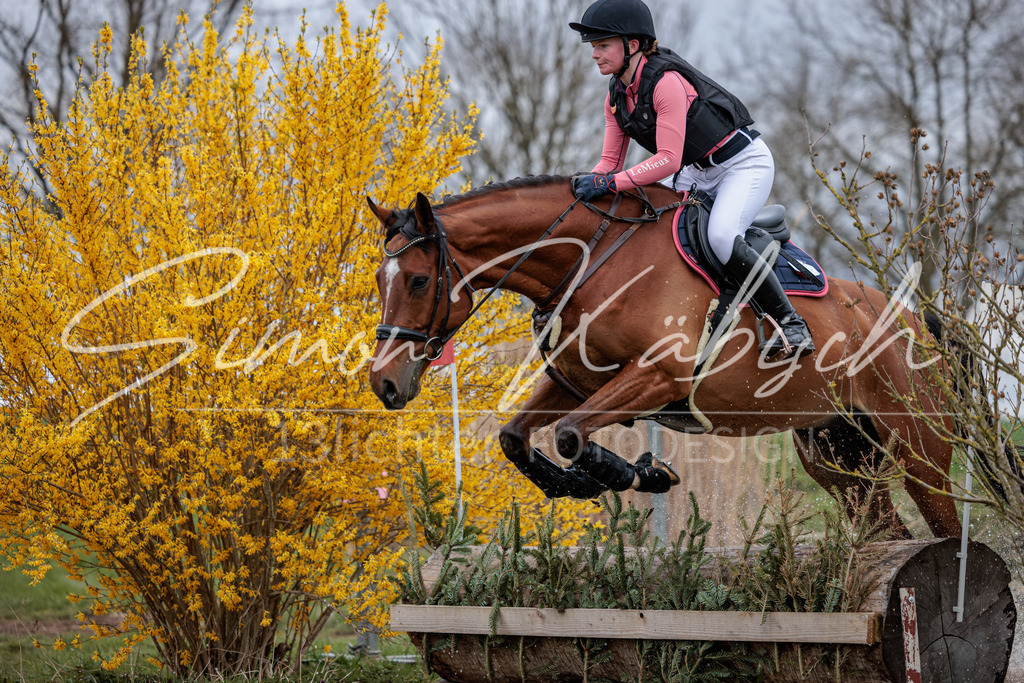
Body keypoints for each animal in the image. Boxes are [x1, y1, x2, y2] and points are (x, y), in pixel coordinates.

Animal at [366, 175, 962, 539]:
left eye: (418, 280)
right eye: (379, 278)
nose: (384, 384)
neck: (591, 260)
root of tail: (914, 320)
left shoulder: (656, 378)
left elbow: (570, 434)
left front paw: (640, 474)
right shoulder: (577, 381)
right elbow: (517, 437)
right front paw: (583, 482)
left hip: (918, 448)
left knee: (947, 528)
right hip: (839, 457)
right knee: (887, 533)